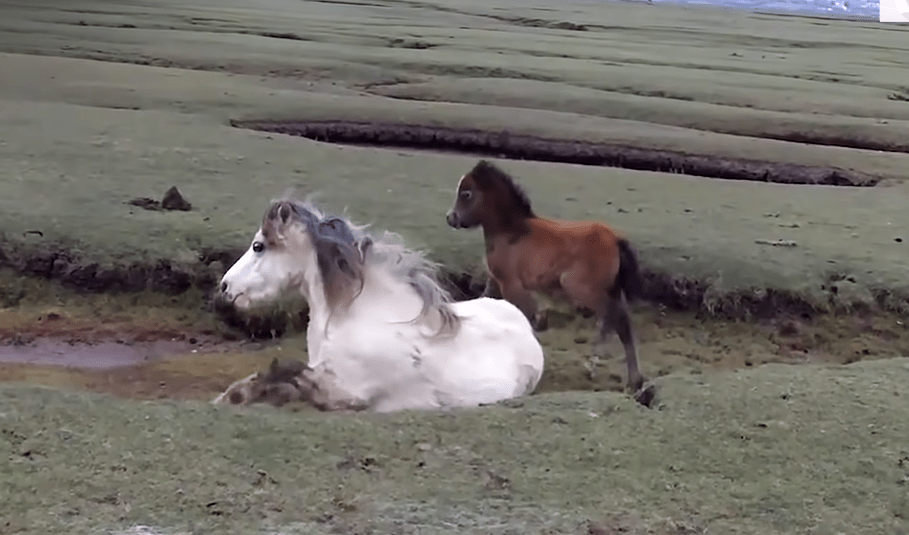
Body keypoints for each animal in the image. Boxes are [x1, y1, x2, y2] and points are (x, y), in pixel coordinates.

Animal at [214, 199, 544, 412]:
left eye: (258, 246)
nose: (224, 287)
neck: (359, 318)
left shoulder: (346, 394)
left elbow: (285, 372)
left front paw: (232, 397)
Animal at [446, 159, 644, 394]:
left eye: (466, 193)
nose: (451, 218)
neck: (512, 234)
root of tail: (615, 239)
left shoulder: (512, 285)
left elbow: (525, 316)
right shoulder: (495, 281)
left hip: (581, 289)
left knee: (611, 318)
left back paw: (594, 365)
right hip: (611, 289)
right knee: (624, 324)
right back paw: (634, 381)